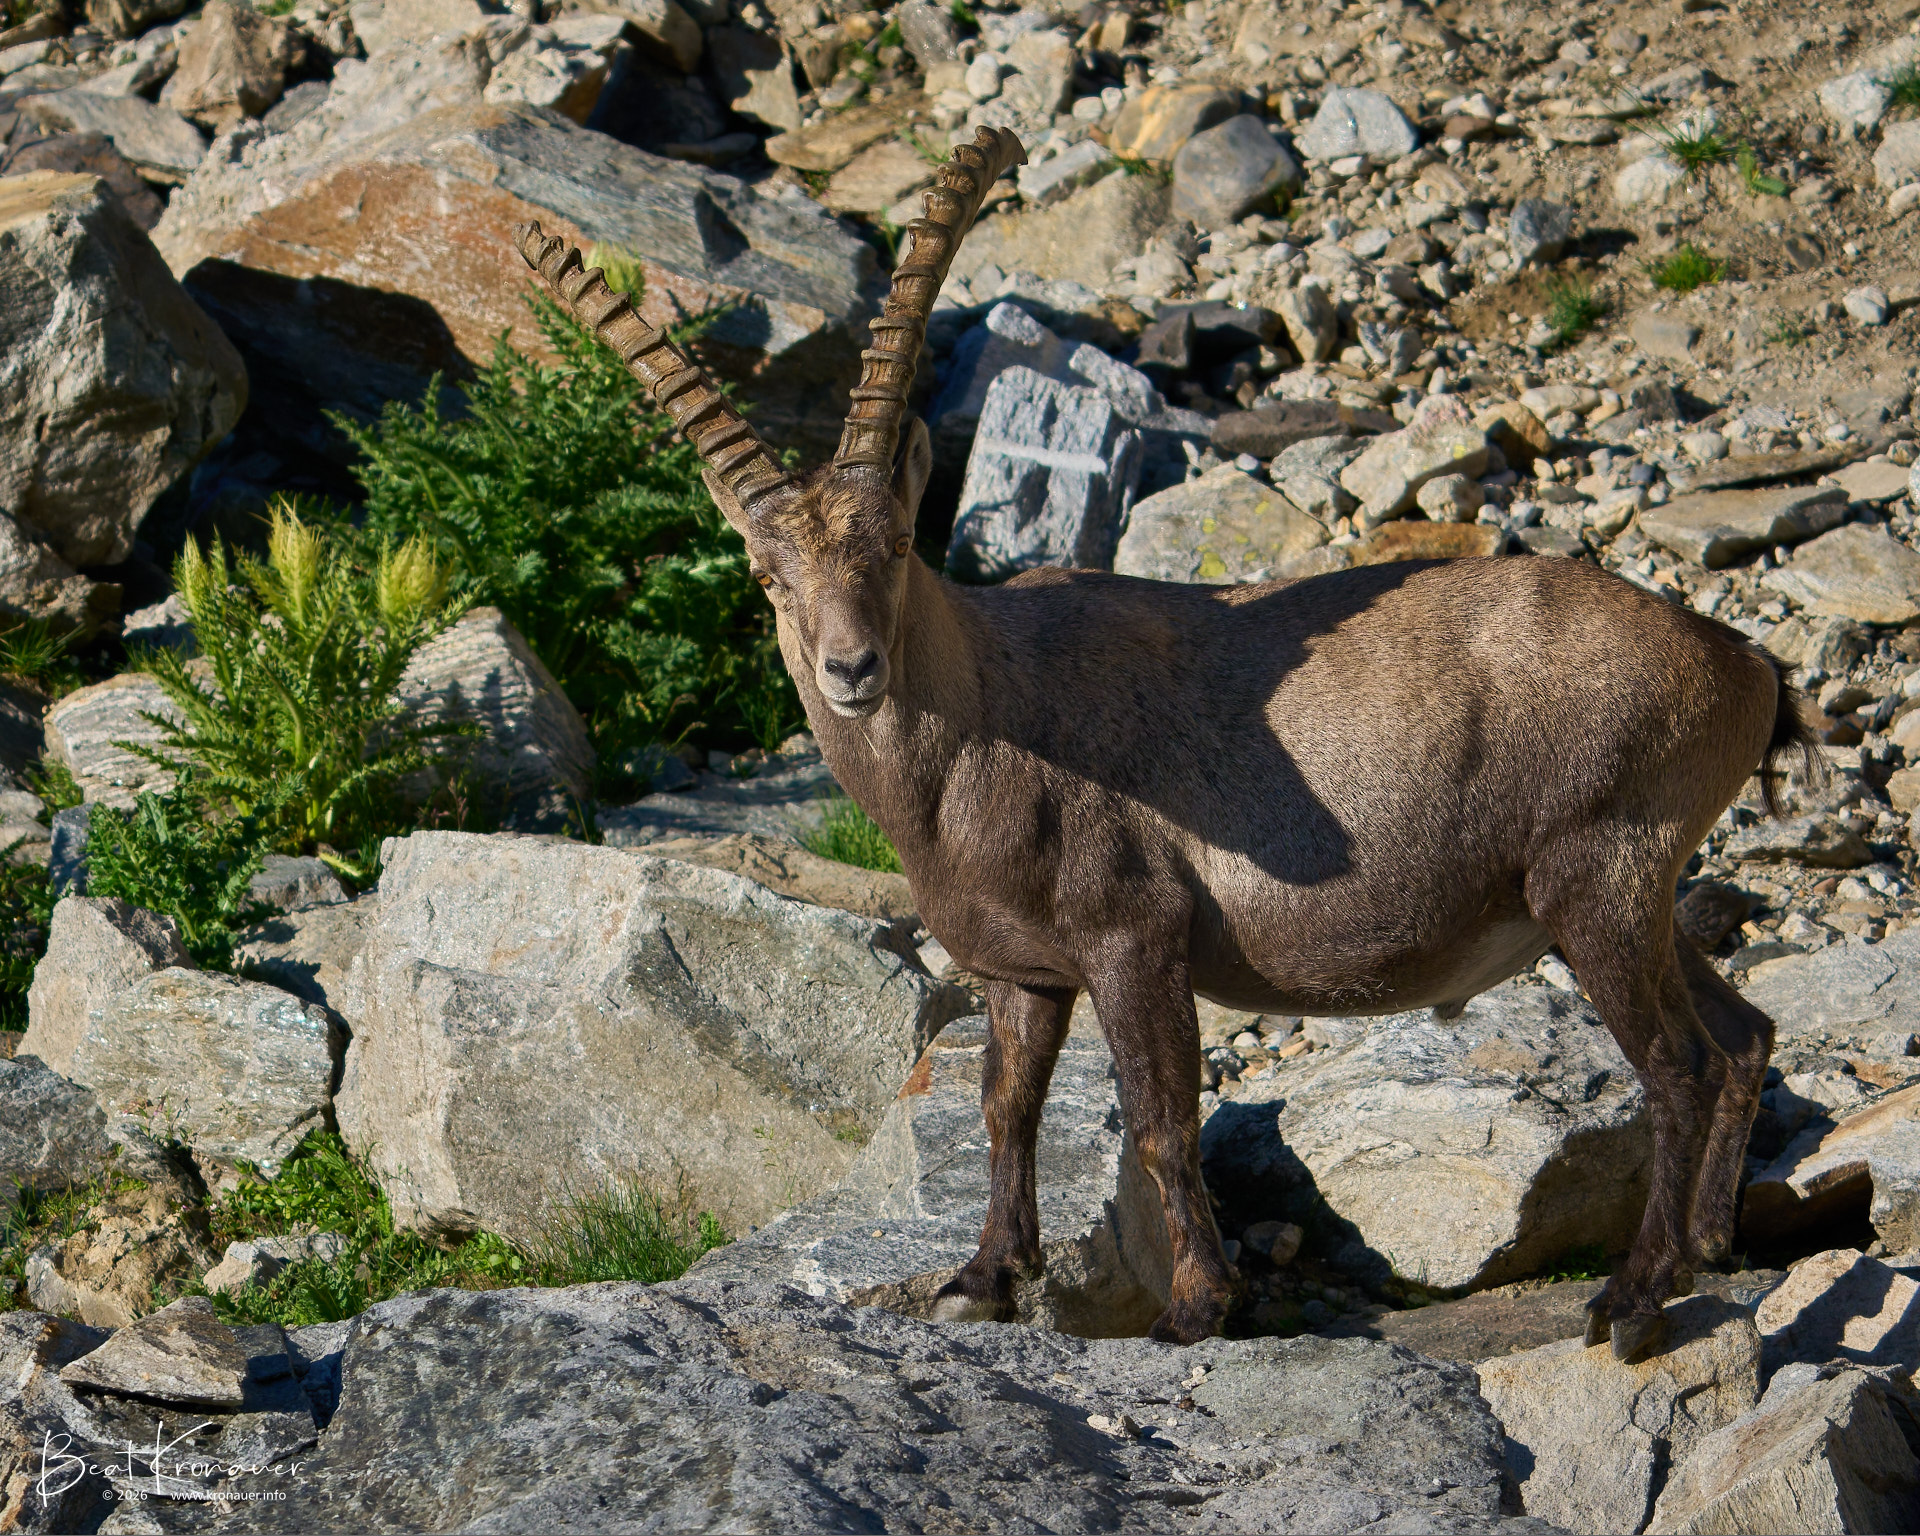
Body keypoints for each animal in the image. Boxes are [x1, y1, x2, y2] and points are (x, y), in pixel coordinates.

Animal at [515, 126, 1808, 1362]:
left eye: (893, 544)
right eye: (766, 576)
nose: (850, 669)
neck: (982, 729)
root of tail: (1739, 663)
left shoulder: (1133, 936)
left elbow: (1158, 1118)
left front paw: (1195, 1307)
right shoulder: (1025, 971)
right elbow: (1005, 1106)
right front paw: (983, 1281)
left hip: (1595, 874)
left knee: (1679, 1066)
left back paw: (1634, 1301)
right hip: (1631, 890)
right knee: (1744, 1035)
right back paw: (1711, 1244)